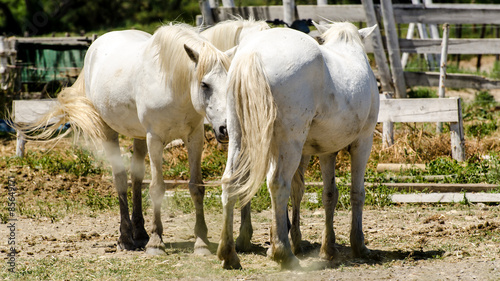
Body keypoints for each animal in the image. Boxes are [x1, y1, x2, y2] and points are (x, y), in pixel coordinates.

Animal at [20, 24, 235, 254]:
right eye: (204, 84)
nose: (226, 128)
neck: (170, 84)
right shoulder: (155, 139)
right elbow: (157, 188)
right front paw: (156, 243)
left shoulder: (194, 137)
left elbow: (196, 187)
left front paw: (201, 243)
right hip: (109, 132)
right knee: (121, 179)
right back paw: (125, 238)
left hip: (139, 137)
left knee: (136, 178)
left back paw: (140, 234)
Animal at [219, 22, 378, 270]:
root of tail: (253, 53)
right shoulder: (363, 142)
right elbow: (357, 192)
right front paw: (359, 245)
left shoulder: (327, 151)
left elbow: (329, 194)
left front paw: (328, 249)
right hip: (289, 144)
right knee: (278, 184)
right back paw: (284, 253)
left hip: (239, 137)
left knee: (230, 183)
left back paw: (229, 254)